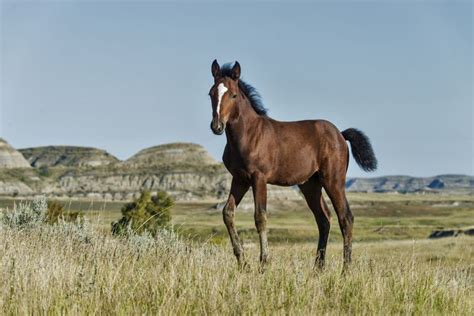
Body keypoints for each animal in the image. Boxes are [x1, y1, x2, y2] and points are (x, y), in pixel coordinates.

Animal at [208, 59, 378, 270]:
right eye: (211, 93)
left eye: (233, 94)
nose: (217, 126)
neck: (248, 135)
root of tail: (340, 134)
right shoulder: (240, 179)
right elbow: (228, 213)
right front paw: (242, 262)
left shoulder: (259, 178)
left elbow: (260, 217)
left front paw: (264, 263)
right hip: (310, 185)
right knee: (324, 219)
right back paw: (317, 268)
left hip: (333, 180)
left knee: (345, 218)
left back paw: (345, 270)